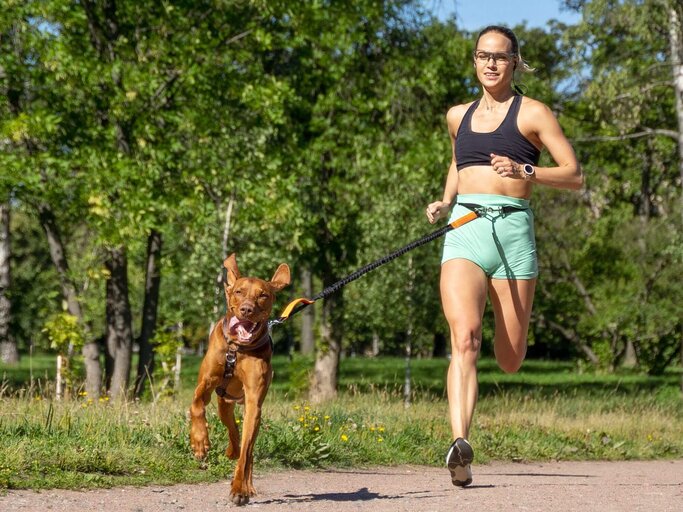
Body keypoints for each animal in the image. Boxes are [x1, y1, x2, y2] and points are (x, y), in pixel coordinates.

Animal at [190, 254, 292, 506]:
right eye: (238, 291)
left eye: (263, 295)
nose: (247, 309)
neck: (236, 349)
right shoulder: (205, 384)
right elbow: (196, 405)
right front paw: (199, 442)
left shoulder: (254, 402)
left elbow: (246, 453)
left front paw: (239, 490)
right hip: (224, 404)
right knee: (233, 432)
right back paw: (230, 449)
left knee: (247, 448)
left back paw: (247, 484)